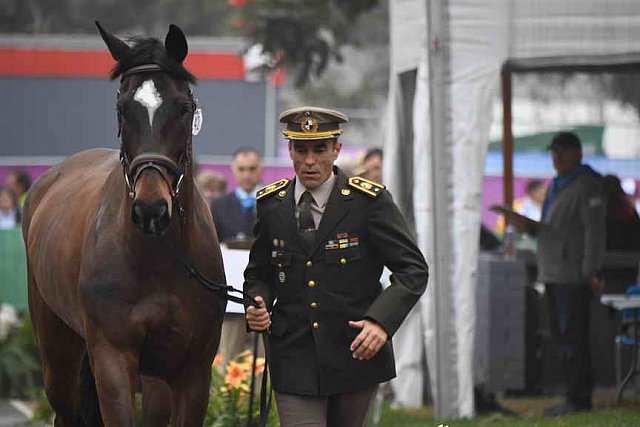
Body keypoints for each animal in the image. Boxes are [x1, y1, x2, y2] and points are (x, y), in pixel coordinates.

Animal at [21, 23, 228, 427]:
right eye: (122, 108)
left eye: (183, 108)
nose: (151, 209)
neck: (160, 261)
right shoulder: (112, 357)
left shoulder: (193, 370)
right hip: (57, 348)